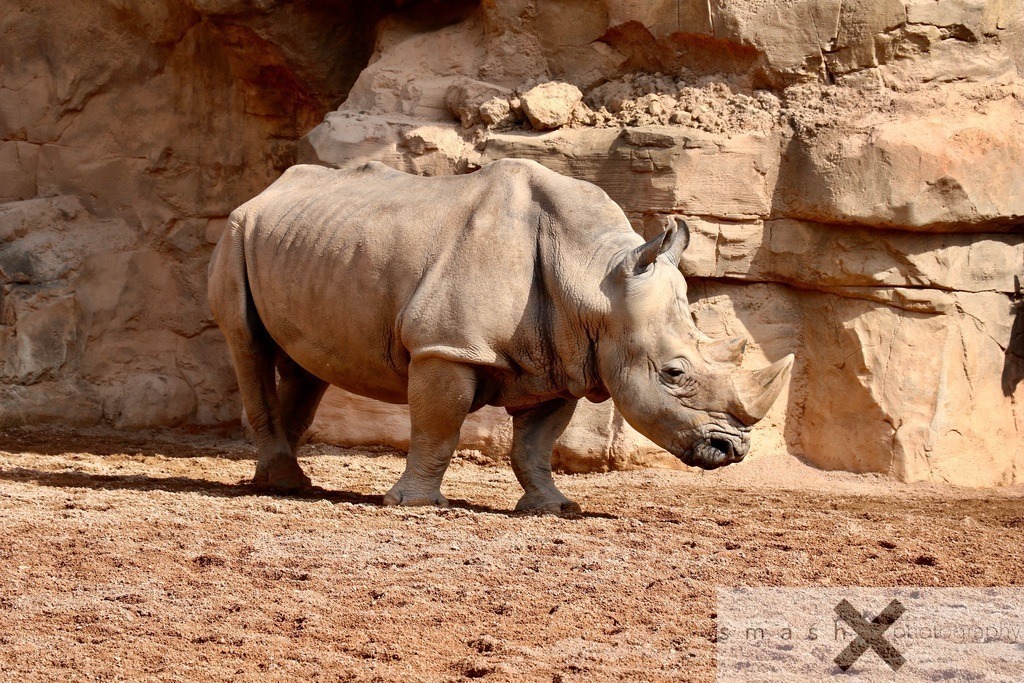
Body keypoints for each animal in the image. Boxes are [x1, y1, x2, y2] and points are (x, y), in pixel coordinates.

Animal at [208, 159, 793, 513]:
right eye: (674, 373)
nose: (733, 449)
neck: (596, 279)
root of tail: (269, 188)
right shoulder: (446, 346)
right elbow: (439, 427)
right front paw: (414, 506)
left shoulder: (562, 361)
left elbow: (535, 445)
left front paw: (555, 508)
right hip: (236, 230)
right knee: (247, 344)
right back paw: (283, 484)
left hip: (304, 242)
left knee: (303, 365)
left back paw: (285, 483)